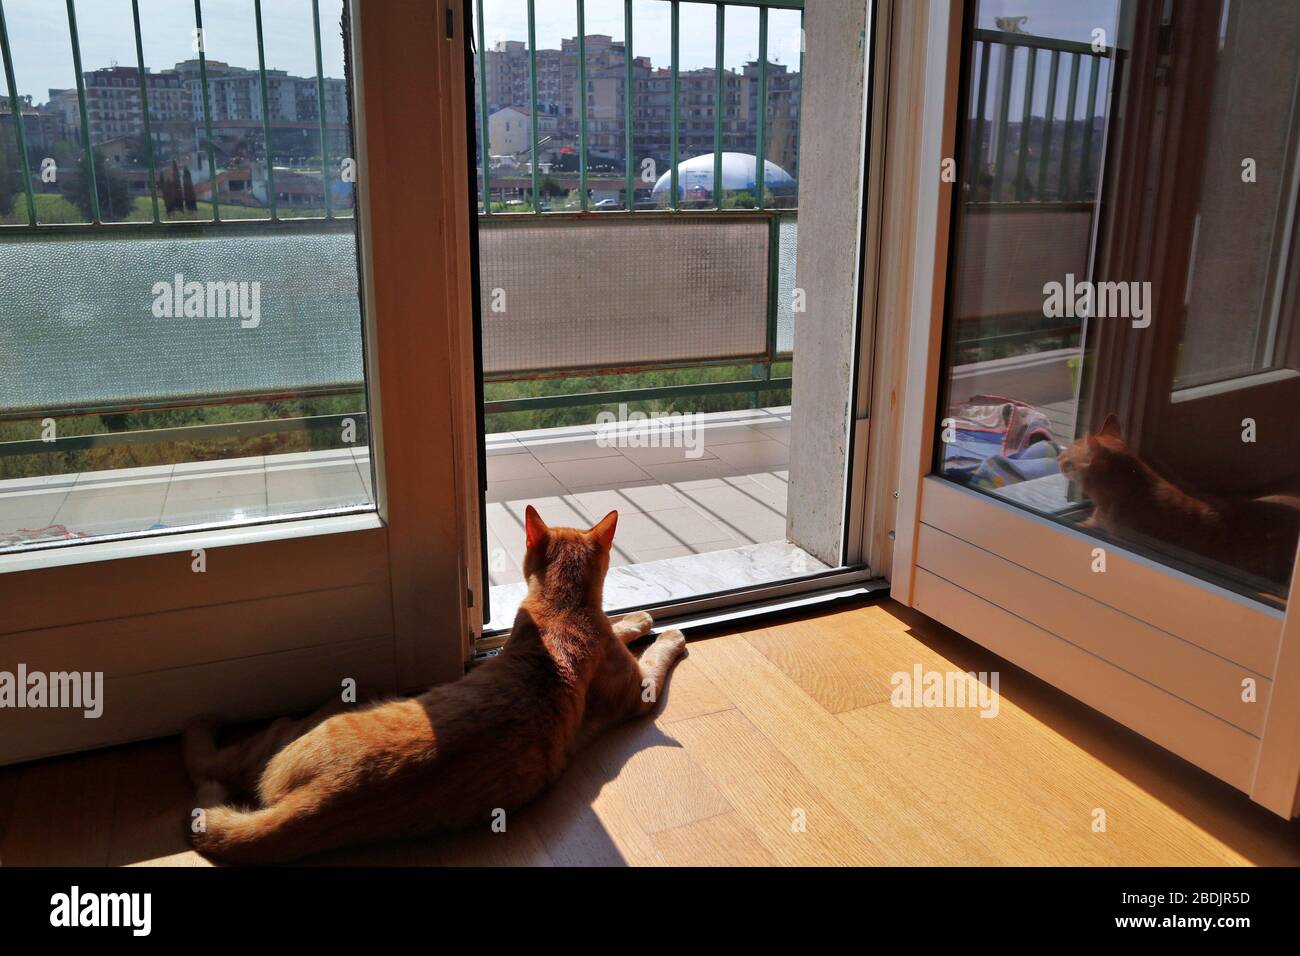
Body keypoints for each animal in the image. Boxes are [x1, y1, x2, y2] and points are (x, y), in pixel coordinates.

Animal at [187, 509, 691, 868]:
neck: (562, 611)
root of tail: (322, 799)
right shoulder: (639, 687)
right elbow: (644, 646)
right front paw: (654, 626)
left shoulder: (636, 685)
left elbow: (639, 643)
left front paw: (649, 625)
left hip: (306, 730)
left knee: (232, 755)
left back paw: (203, 729)